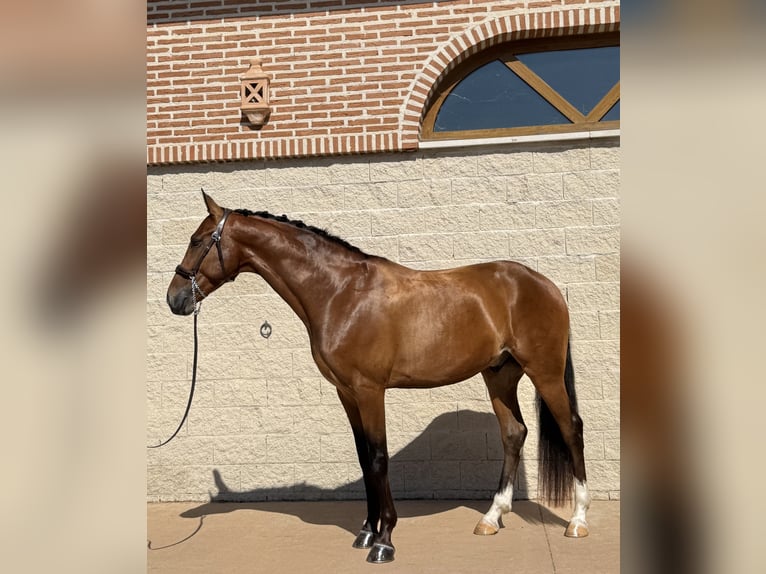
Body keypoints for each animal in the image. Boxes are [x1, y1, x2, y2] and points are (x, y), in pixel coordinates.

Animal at [166, 191, 591, 563]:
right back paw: (491, 517)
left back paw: (577, 521)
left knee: (571, 428)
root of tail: (544, 284)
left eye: (197, 240)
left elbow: (379, 457)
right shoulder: (346, 393)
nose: (175, 299)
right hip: (499, 376)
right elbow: (363, 458)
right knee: (513, 433)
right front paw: (367, 531)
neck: (340, 293)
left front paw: (384, 540)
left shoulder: (370, 390)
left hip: (545, 372)